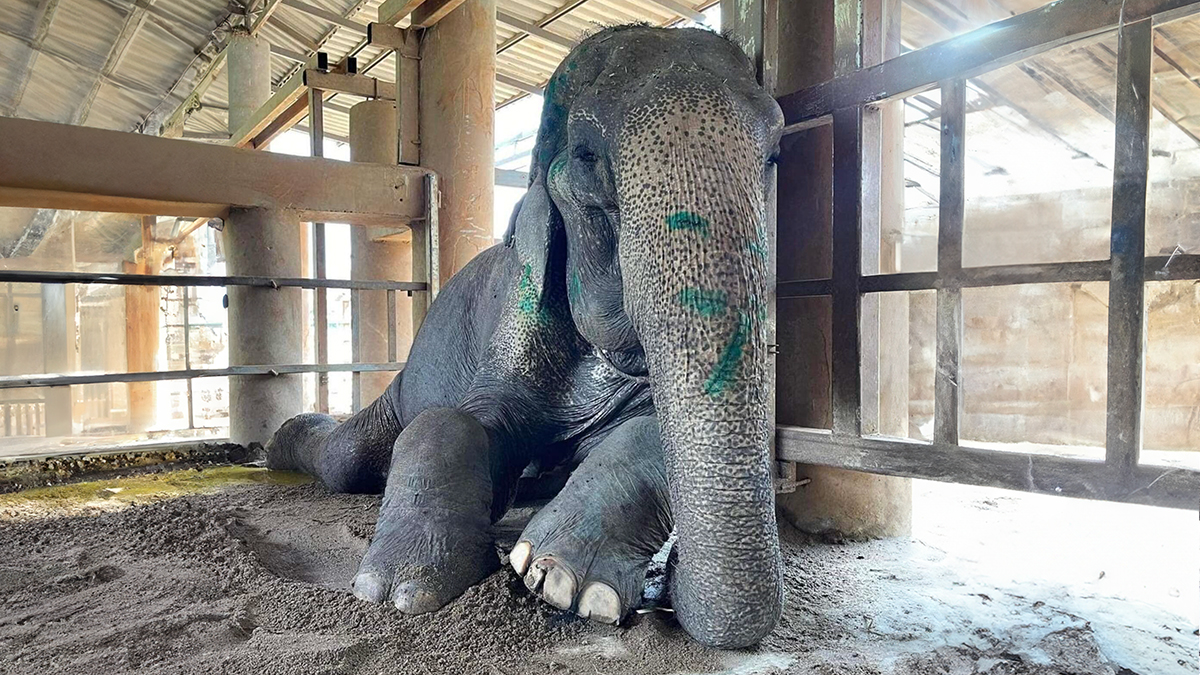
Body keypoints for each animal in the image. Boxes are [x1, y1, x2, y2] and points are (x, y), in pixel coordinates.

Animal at [266, 23, 786, 649]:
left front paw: (563, 581)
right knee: (347, 458)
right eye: (586, 155)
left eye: (776, 152)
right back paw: (279, 446)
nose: (671, 584)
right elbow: (455, 420)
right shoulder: (518, 309)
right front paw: (400, 589)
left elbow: (651, 430)